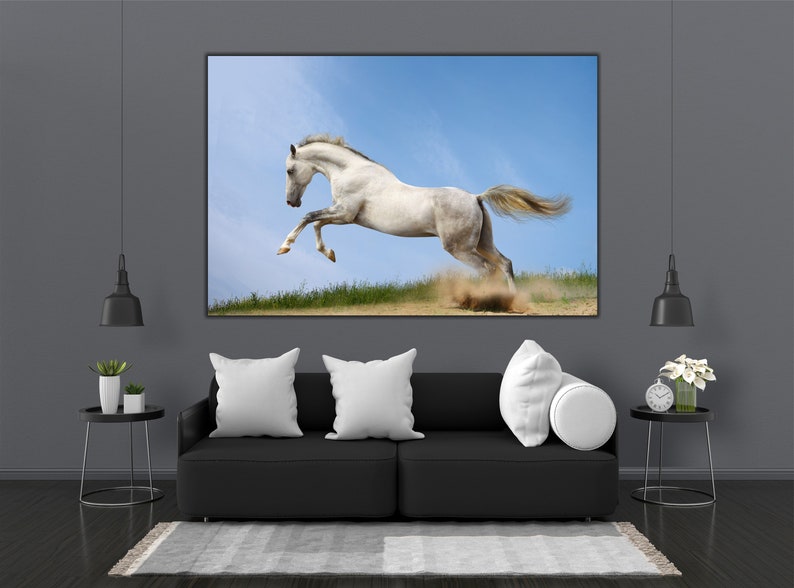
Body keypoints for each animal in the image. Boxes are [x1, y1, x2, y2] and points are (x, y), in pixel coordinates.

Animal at [277, 134, 571, 292]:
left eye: (290, 170)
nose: (291, 202)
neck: (351, 172)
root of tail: (476, 197)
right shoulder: (345, 217)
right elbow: (317, 224)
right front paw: (330, 254)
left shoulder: (345, 213)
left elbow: (309, 218)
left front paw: (284, 248)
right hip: (482, 243)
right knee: (505, 264)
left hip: (460, 248)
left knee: (488, 270)